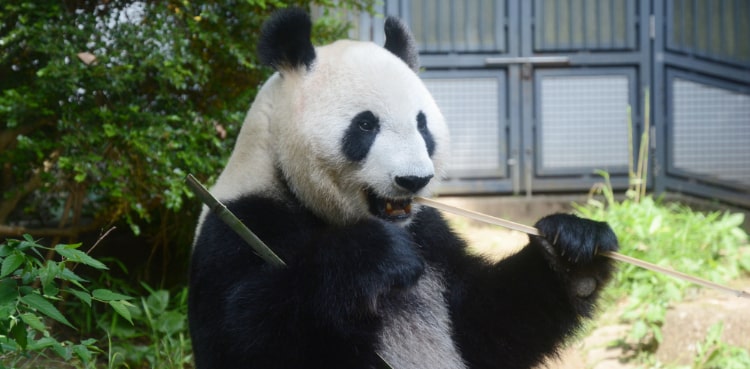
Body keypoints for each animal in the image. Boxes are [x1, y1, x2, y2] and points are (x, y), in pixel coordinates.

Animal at [191, 8, 620, 368]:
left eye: (422, 124)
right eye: (365, 125)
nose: (413, 179)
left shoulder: (431, 235)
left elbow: (487, 326)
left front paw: (572, 250)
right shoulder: (242, 224)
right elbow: (242, 336)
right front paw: (372, 256)